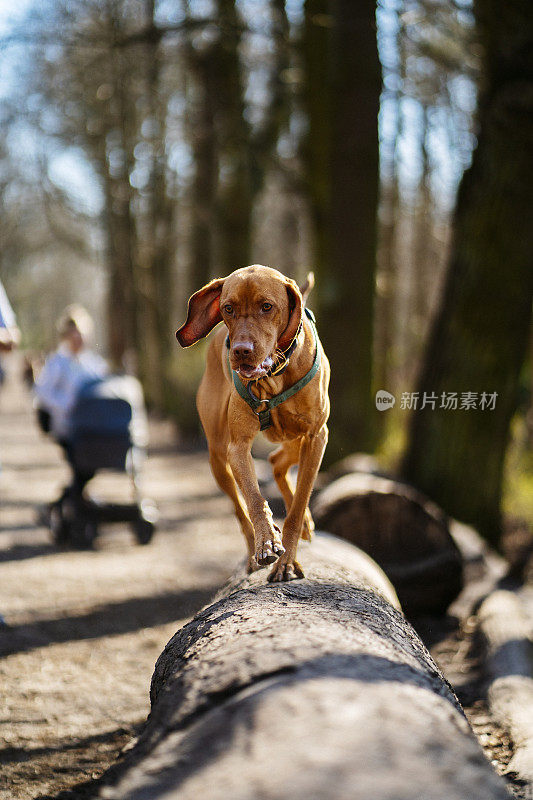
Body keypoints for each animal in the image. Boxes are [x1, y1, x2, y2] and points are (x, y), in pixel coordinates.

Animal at [177, 262, 330, 580]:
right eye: (228, 308)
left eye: (267, 306)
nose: (241, 351)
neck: (275, 374)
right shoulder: (238, 447)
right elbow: (253, 498)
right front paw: (267, 541)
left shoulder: (316, 436)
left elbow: (299, 504)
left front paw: (287, 560)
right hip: (218, 456)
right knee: (241, 505)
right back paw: (253, 550)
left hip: (298, 438)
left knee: (276, 461)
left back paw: (304, 522)